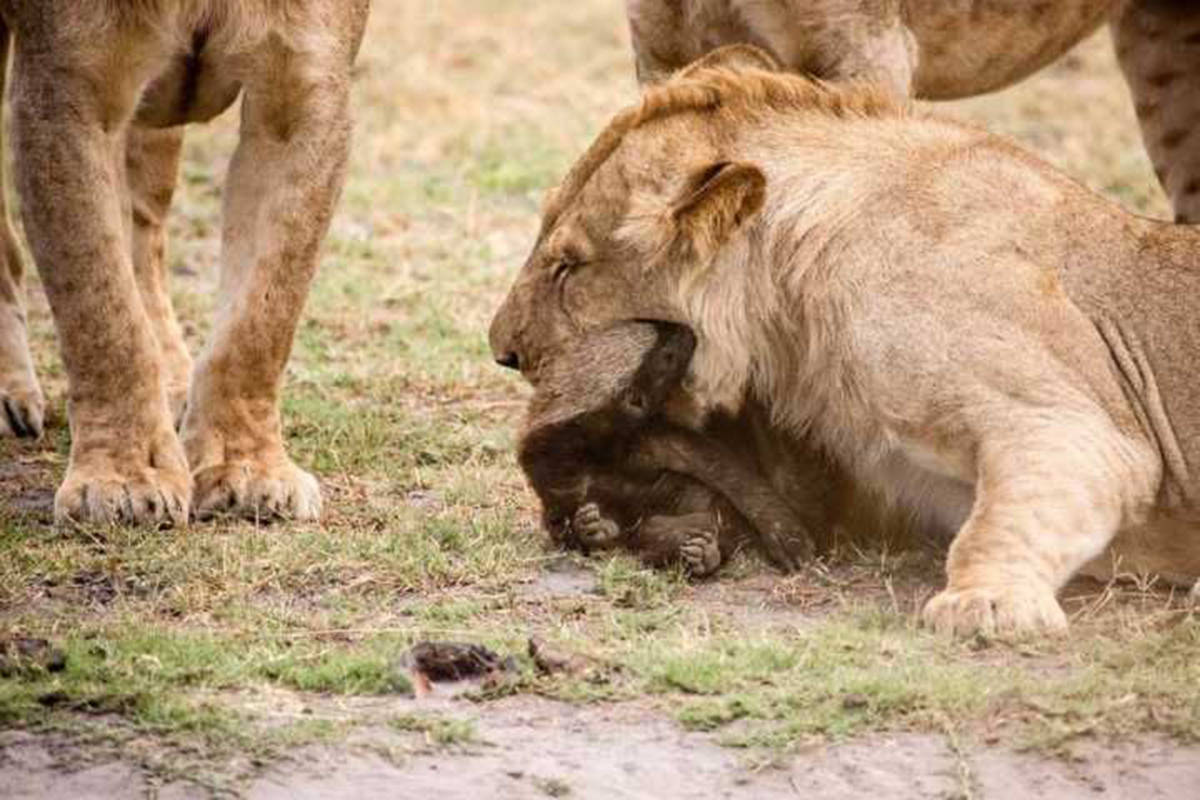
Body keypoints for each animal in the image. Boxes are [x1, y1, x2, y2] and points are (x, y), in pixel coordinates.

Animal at [520, 316, 830, 573]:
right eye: (666, 357)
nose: (686, 330)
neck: (596, 451)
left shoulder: (648, 439)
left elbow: (725, 470)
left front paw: (789, 537)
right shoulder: (556, 477)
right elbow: (560, 524)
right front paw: (589, 529)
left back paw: (701, 550)